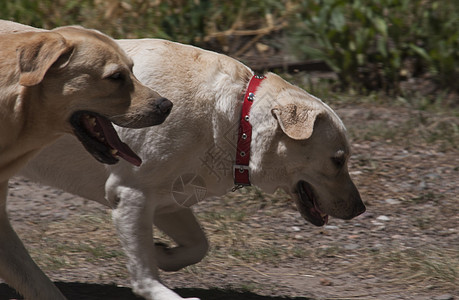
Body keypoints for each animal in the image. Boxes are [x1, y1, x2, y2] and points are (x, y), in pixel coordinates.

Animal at [12, 22, 366, 300]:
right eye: (338, 160)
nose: (361, 209)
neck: (238, 122)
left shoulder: (168, 202)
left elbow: (199, 245)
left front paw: (161, 253)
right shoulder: (131, 194)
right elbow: (144, 275)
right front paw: (154, 277)